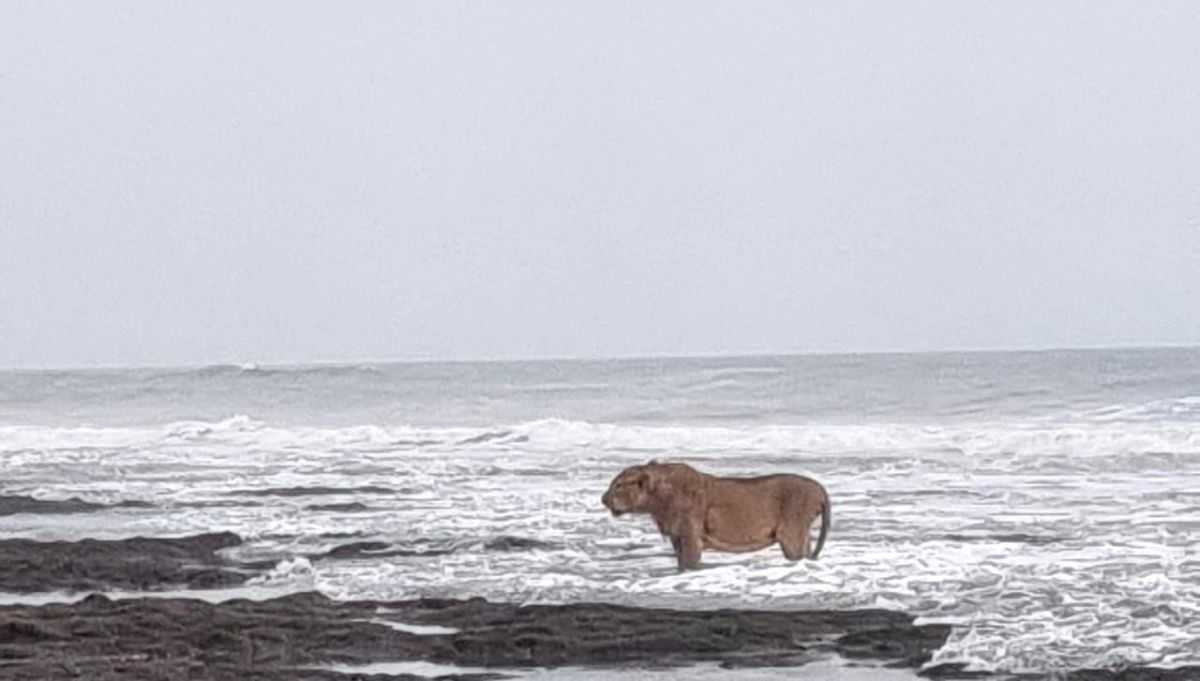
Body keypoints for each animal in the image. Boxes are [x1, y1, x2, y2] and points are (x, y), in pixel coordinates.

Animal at [601, 460, 830, 571]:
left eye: (618, 485)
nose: (603, 499)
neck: (657, 501)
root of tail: (819, 488)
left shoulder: (690, 535)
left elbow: (689, 564)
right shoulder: (677, 537)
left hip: (791, 534)